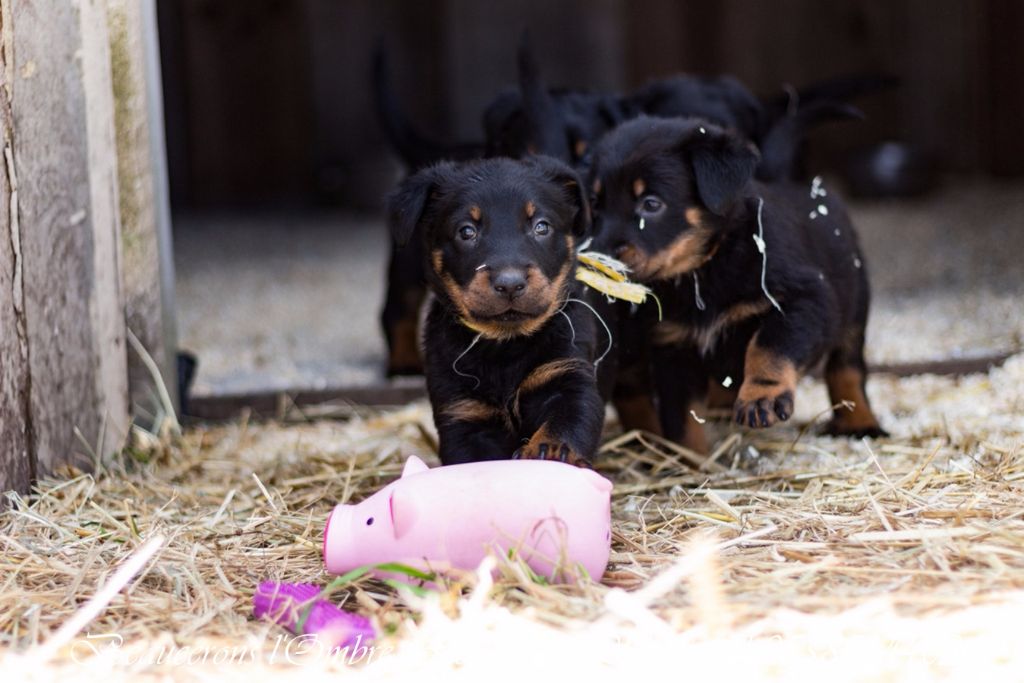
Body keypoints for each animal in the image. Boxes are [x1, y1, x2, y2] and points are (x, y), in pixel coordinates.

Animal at [387, 156, 610, 464]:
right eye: (466, 231)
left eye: (541, 227)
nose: (510, 284)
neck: (506, 346)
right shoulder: (463, 411)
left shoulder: (568, 376)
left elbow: (565, 422)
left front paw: (551, 451)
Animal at [589, 115, 884, 450]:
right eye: (596, 205)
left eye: (651, 204)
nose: (601, 253)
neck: (706, 267)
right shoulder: (673, 346)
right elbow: (682, 417)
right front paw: (690, 458)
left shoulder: (804, 299)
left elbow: (769, 345)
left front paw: (762, 396)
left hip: (855, 306)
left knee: (847, 368)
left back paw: (860, 421)